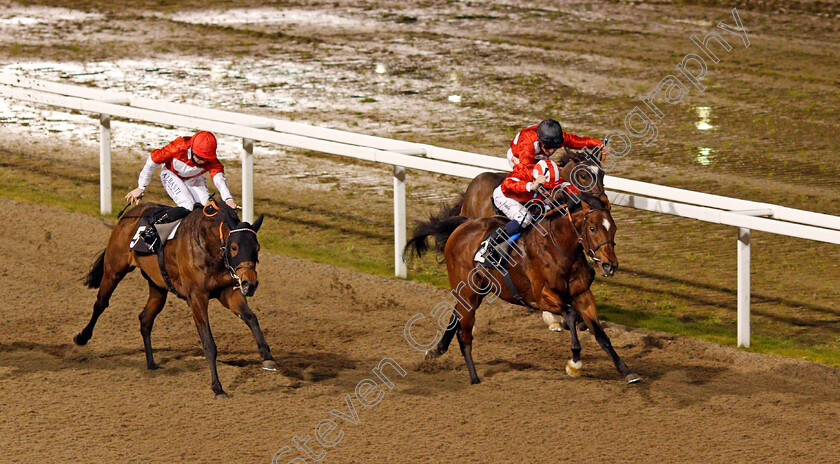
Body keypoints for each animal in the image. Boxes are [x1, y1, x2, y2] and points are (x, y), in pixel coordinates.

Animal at [77, 199, 274, 398]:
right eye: (234, 248)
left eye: (257, 248)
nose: (250, 283)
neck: (207, 246)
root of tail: (130, 213)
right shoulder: (197, 297)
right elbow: (208, 343)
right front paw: (217, 387)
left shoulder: (229, 292)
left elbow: (251, 317)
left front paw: (267, 356)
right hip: (114, 270)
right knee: (101, 303)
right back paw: (82, 337)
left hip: (158, 286)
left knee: (145, 318)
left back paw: (151, 362)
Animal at [404, 192, 640, 384]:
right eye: (592, 228)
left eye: (614, 228)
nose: (610, 265)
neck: (558, 249)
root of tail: (464, 225)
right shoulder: (542, 297)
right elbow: (571, 314)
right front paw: (574, 362)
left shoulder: (583, 295)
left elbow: (601, 335)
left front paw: (626, 371)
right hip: (468, 289)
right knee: (465, 328)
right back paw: (472, 375)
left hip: (478, 289)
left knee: (457, 314)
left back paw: (437, 350)